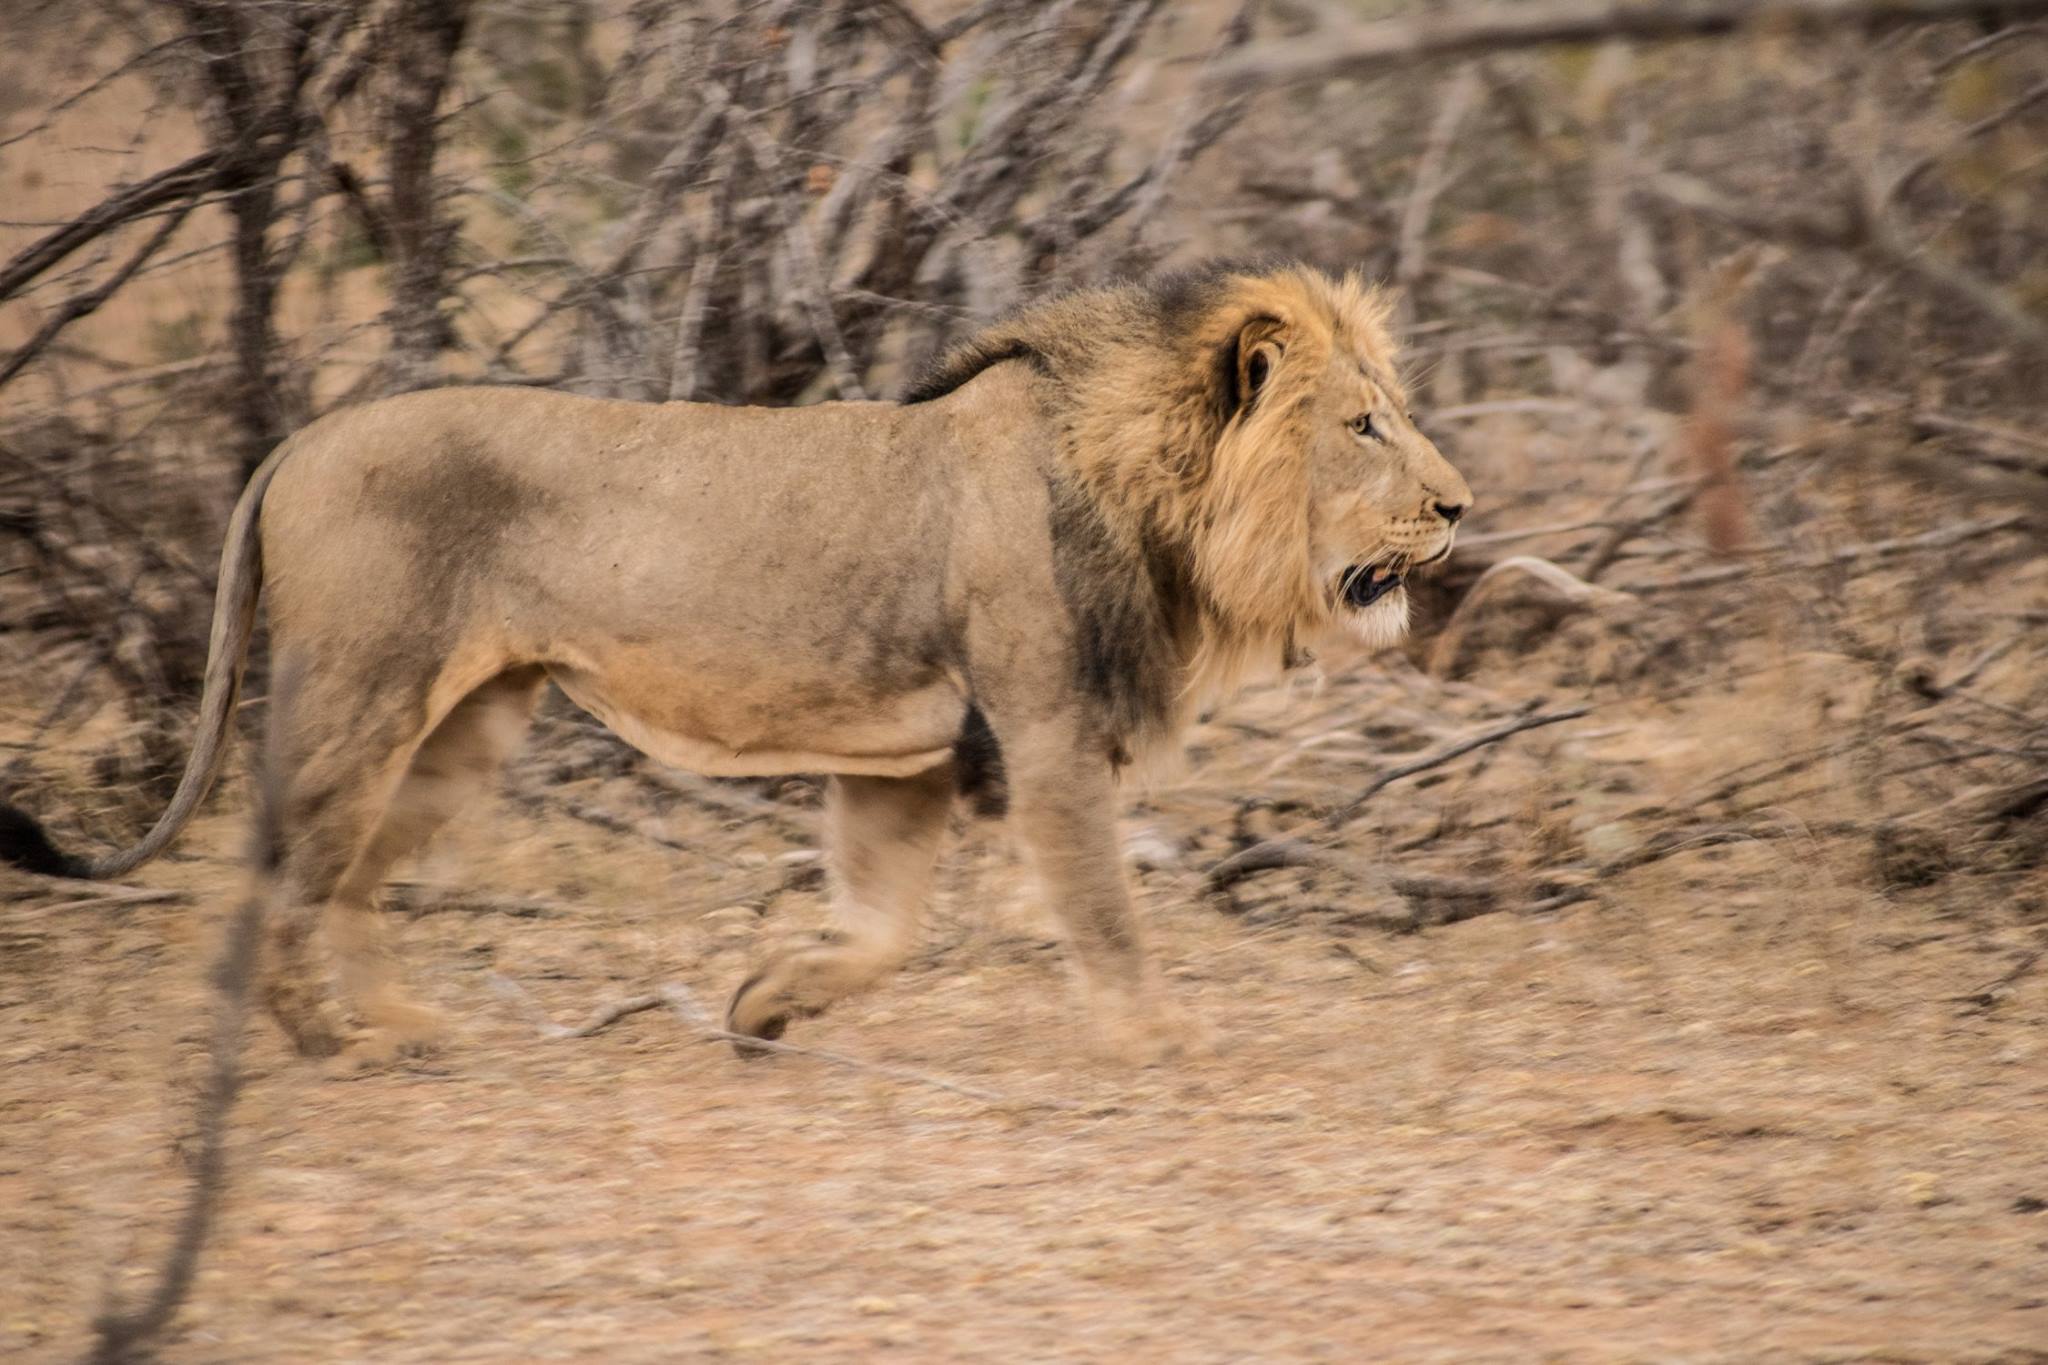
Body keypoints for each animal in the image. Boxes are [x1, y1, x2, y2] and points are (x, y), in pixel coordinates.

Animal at [0, 260, 1470, 1063]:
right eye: (1364, 426)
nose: (1459, 506)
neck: (1143, 488)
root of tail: (297, 441)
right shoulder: (1046, 732)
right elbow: (1104, 910)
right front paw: (1158, 1037)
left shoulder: (907, 759)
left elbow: (881, 927)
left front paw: (765, 1003)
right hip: (361, 696)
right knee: (278, 874)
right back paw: (319, 1036)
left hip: (468, 723)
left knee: (352, 876)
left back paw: (403, 1026)